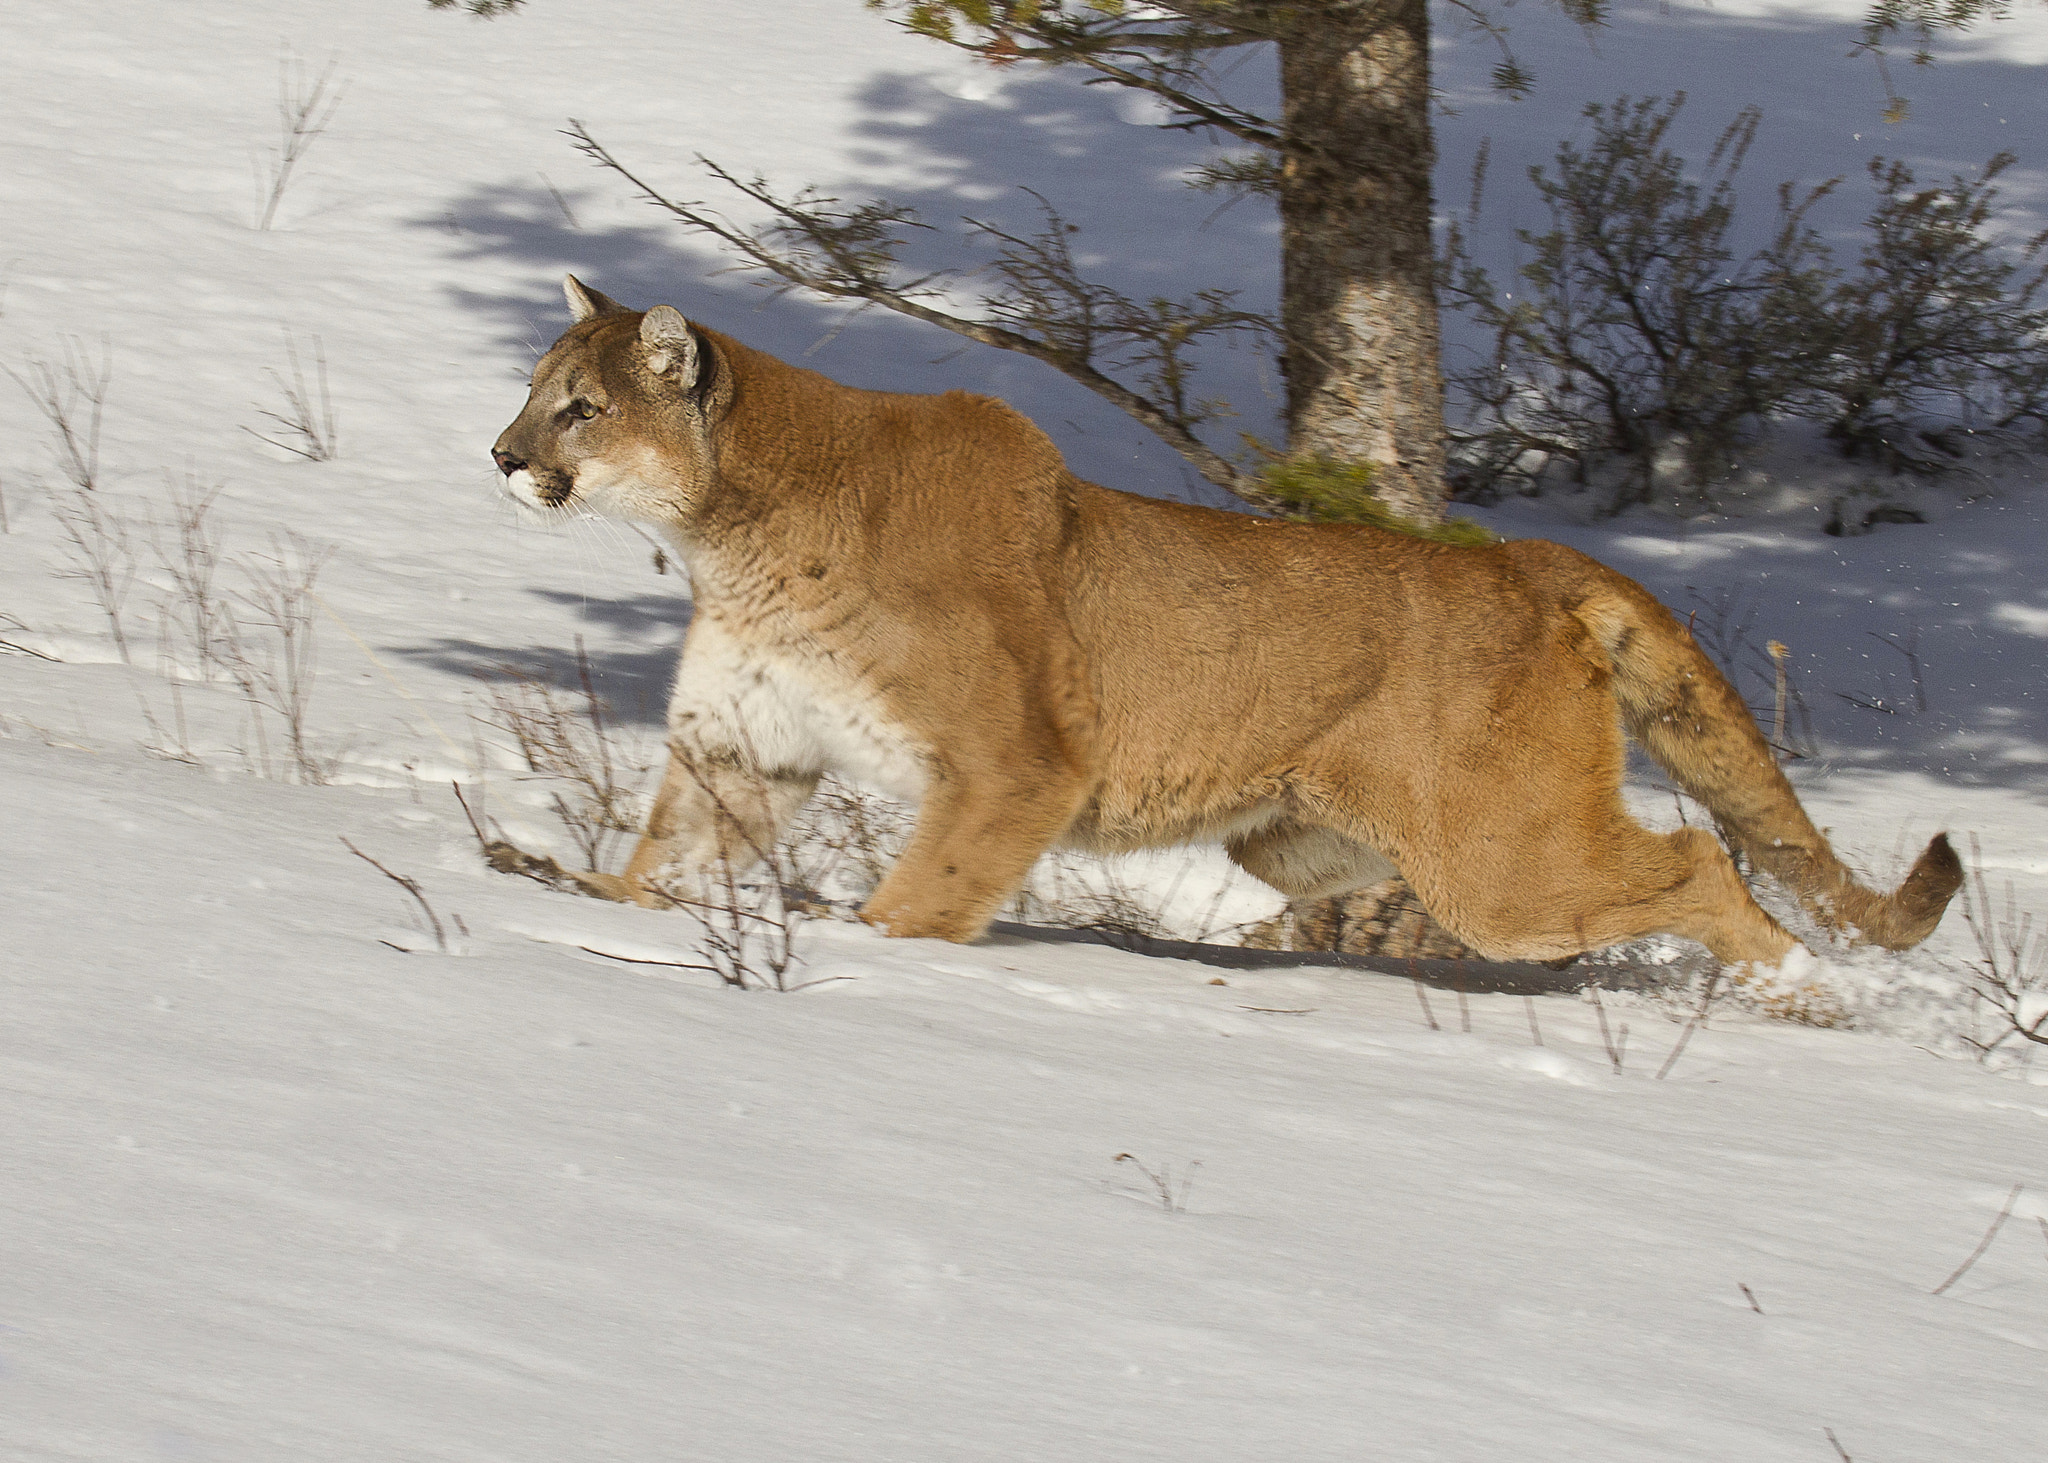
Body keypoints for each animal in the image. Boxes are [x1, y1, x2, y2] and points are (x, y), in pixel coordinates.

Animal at [485, 275, 1961, 971]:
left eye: (579, 407)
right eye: (535, 390)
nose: (500, 457)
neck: (735, 534)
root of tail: (1523, 558)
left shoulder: (1017, 764)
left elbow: (922, 897)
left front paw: (870, 944)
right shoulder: (747, 744)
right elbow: (665, 859)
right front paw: (582, 896)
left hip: (1502, 863)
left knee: (1702, 861)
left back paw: (1799, 994)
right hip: (1305, 839)